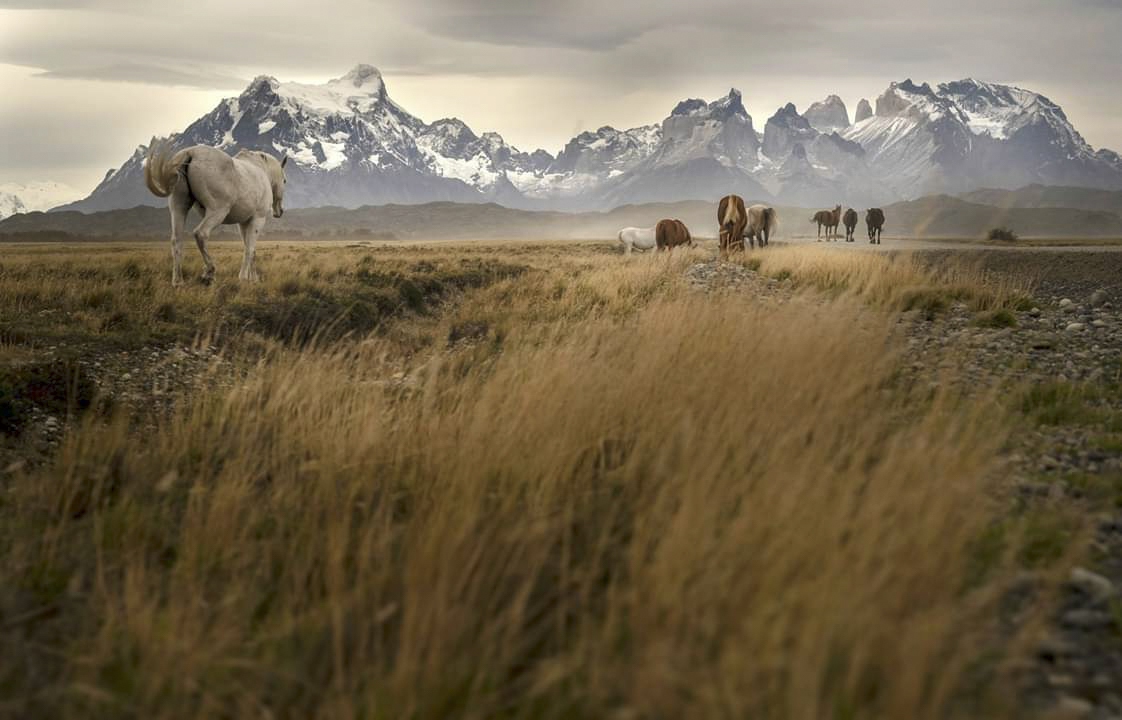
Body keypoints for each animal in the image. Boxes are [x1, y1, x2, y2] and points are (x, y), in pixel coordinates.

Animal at [145, 140, 288, 286]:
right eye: (285, 180)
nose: (279, 211)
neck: (260, 169)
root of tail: (190, 153)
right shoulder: (258, 219)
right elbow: (250, 249)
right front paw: (243, 277)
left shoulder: (243, 223)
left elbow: (249, 249)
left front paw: (253, 279)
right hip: (218, 211)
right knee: (201, 234)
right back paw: (209, 272)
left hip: (179, 207)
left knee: (176, 240)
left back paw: (178, 281)